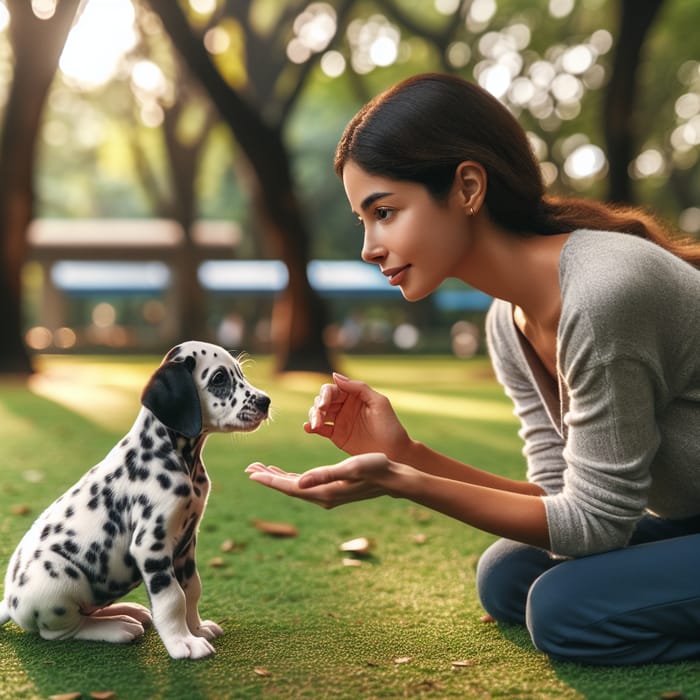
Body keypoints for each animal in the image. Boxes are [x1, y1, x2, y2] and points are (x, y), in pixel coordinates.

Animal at [0, 342, 270, 660]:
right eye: (218, 379)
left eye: (240, 373)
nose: (265, 401)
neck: (175, 457)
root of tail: (10, 603)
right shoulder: (151, 546)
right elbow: (172, 598)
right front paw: (183, 642)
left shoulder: (186, 544)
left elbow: (191, 590)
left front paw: (197, 628)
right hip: (59, 579)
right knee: (60, 632)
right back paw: (116, 627)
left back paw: (126, 612)